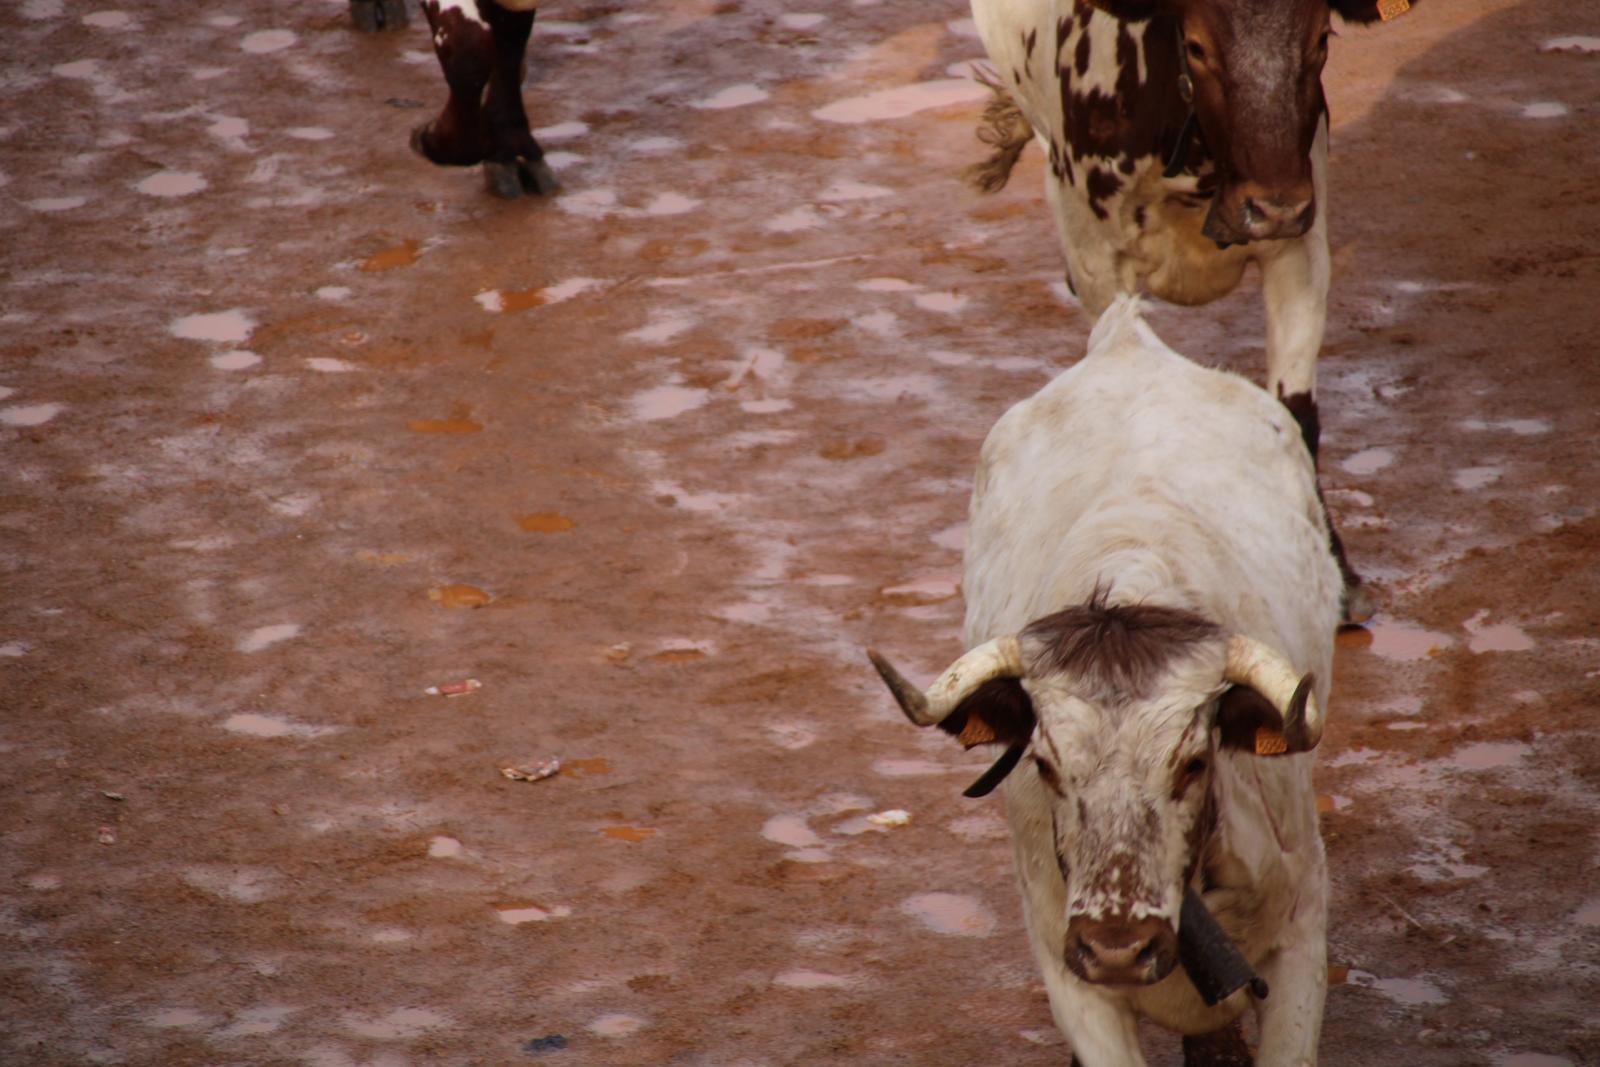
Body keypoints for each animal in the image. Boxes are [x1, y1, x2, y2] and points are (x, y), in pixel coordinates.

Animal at [870, 295, 1344, 1067]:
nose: (1118, 946)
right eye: (1043, 763)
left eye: (1193, 761)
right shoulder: (1070, 973)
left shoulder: (1303, 938)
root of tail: (1127, 337)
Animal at [960, 0, 1414, 620]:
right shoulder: (1099, 259)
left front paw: (1338, 573)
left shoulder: (1301, 240)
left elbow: (1297, 413)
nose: (1273, 206)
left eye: (1322, 38)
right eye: (1196, 47)